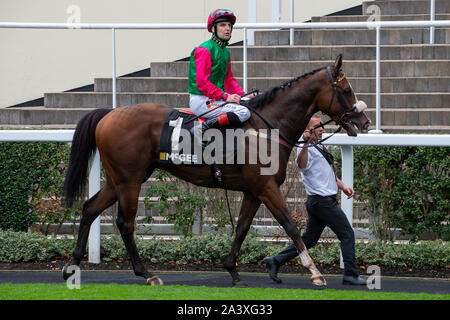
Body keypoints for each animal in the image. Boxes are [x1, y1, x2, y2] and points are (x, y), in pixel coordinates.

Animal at [60, 55, 370, 288]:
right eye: (346, 90)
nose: (364, 122)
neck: (268, 127)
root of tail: (109, 114)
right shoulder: (268, 188)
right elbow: (291, 226)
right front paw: (314, 271)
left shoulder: (254, 191)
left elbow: (242, 229)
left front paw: (232, 270)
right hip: (130, 181)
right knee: (125, 223)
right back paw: (146, 273)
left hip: (119, 180)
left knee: (89, 208)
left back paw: (72, 266)